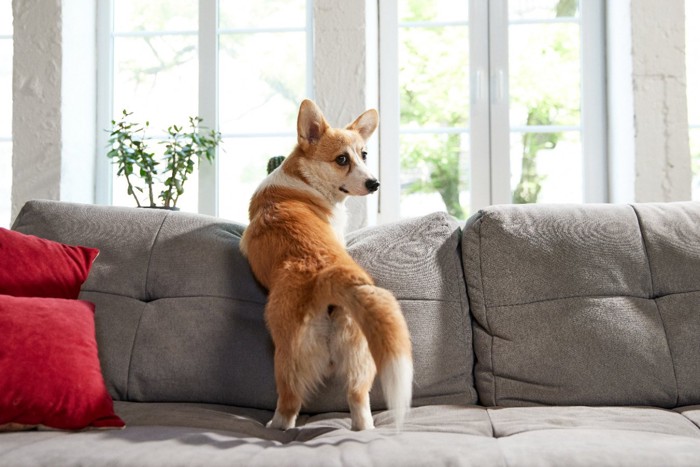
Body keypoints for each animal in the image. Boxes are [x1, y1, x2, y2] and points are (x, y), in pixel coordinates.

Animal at [242, 98, 416, 432]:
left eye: (363, 154)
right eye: (341, 159)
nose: (374, 183)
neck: (304, 178)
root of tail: (327, 274)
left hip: (288, 357)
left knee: (289, 404)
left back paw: (275, 426)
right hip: (361, 358)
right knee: (359, 402)